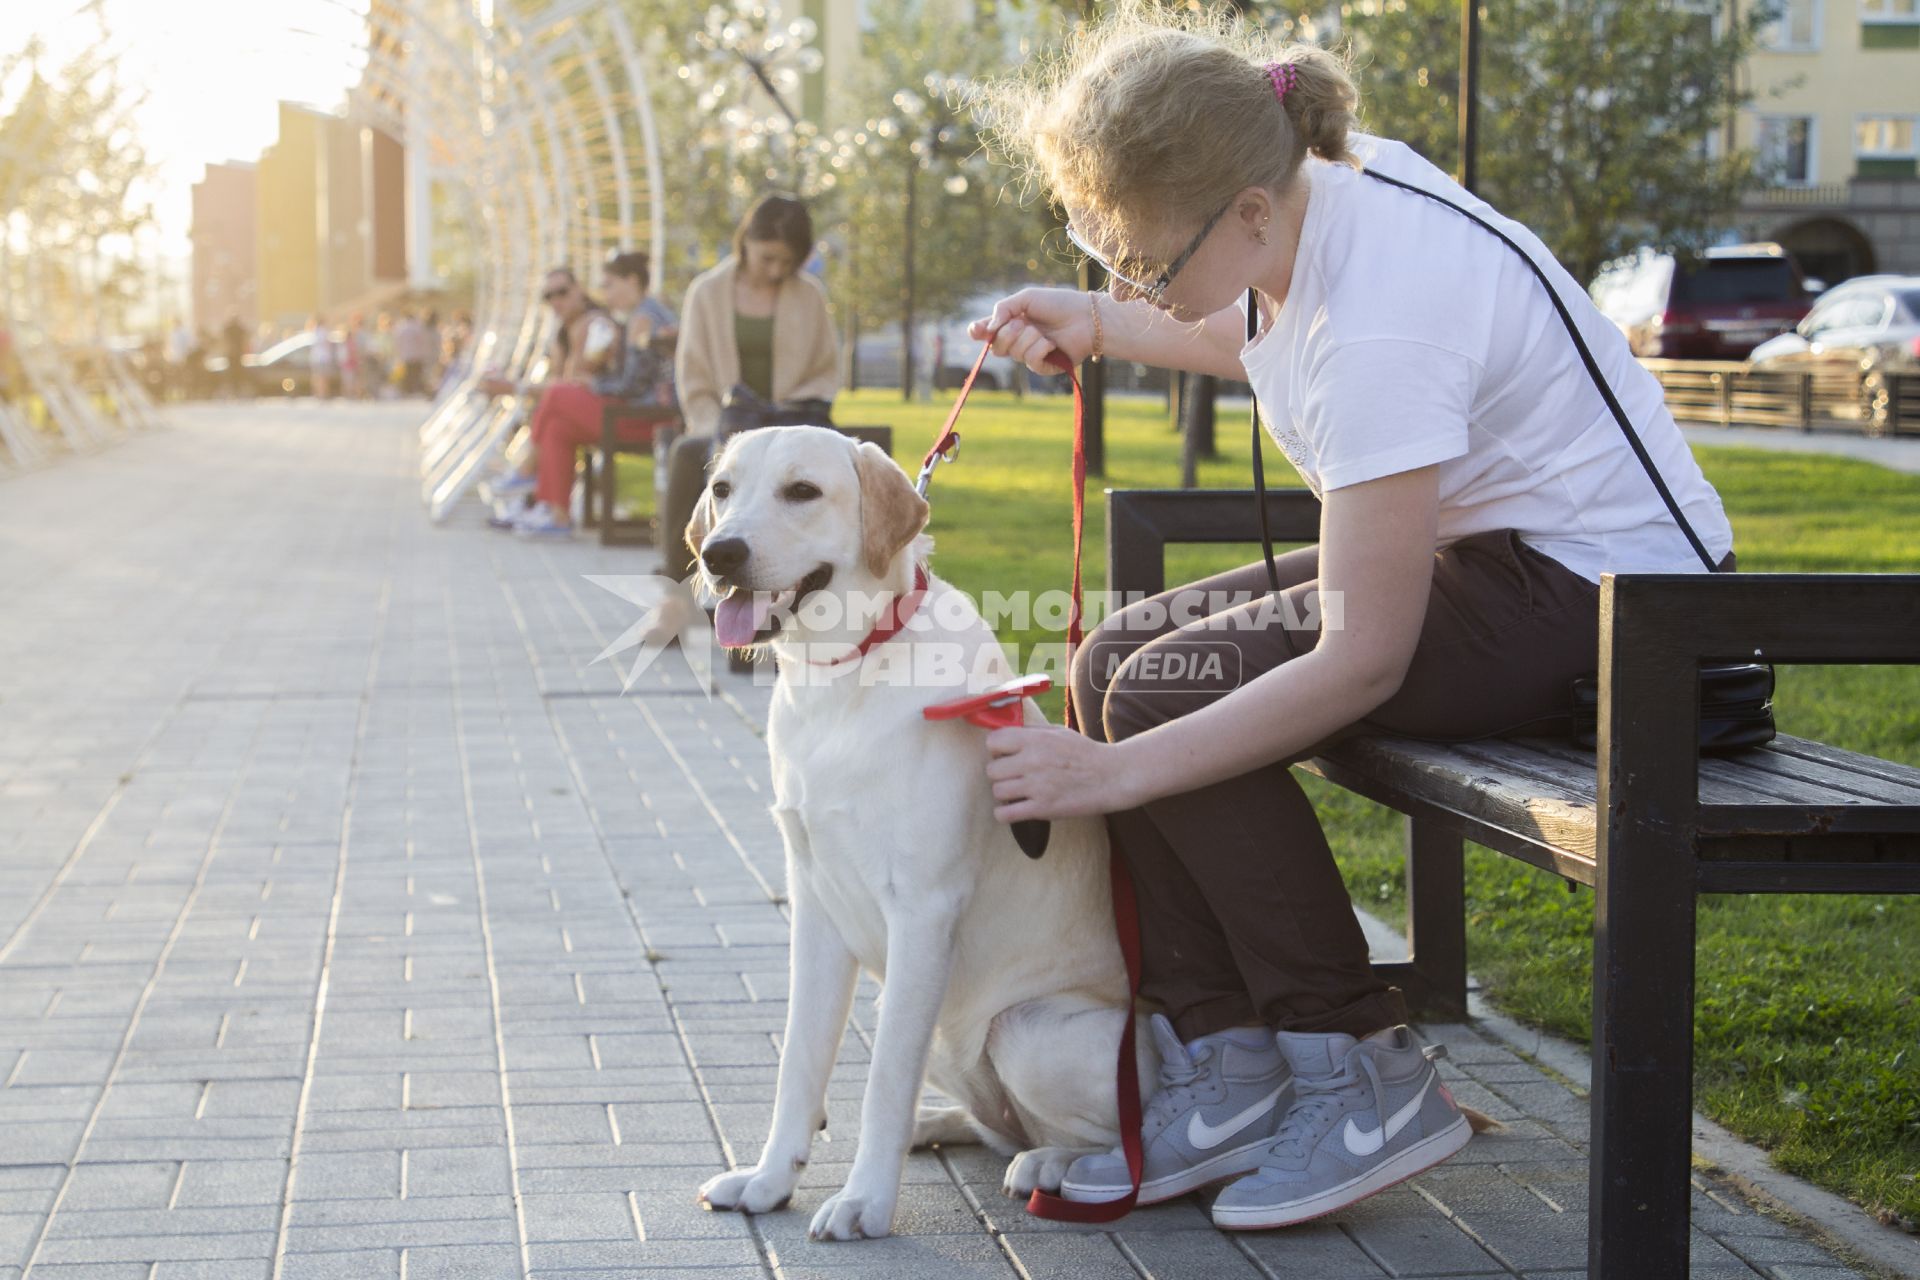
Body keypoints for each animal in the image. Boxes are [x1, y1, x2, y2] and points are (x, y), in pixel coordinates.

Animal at [691, 427, 1136, 1243]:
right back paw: (941, 1124)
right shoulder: (815, 907)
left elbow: (882, 1081)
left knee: (1137, 1138)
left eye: (803, 491)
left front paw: (865, 1201)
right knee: (996, 1125)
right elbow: (799, 1061)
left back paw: (1058, 1166)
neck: (843, 677)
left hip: (1029, 1029)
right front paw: (771, 1181)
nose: (720, 553)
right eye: (723, 490)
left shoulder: (924, 912)